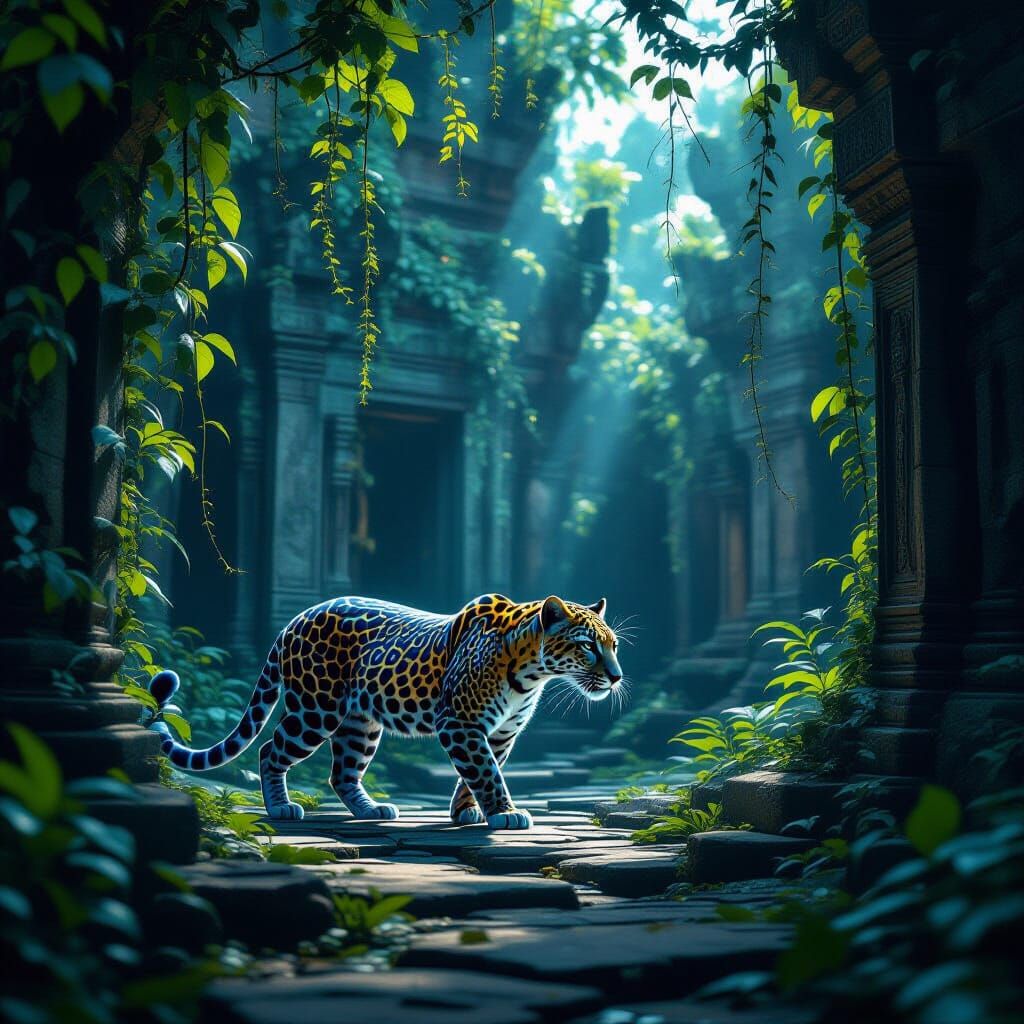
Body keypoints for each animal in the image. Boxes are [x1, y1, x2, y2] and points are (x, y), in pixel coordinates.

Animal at [145, 593, 623, 830]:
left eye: (614, 645)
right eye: (587, 646)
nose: (617, 676)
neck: (532, 670)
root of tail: (292, 621)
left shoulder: (501, 732)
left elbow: (480, 771)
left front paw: (465, 811)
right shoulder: (460, 723)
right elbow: (485, 771)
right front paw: (505, 813)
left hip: (360, 723)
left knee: (341, 772)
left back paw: (371, 811)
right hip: (315, 710)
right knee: (269, 750)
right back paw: (281, 808)